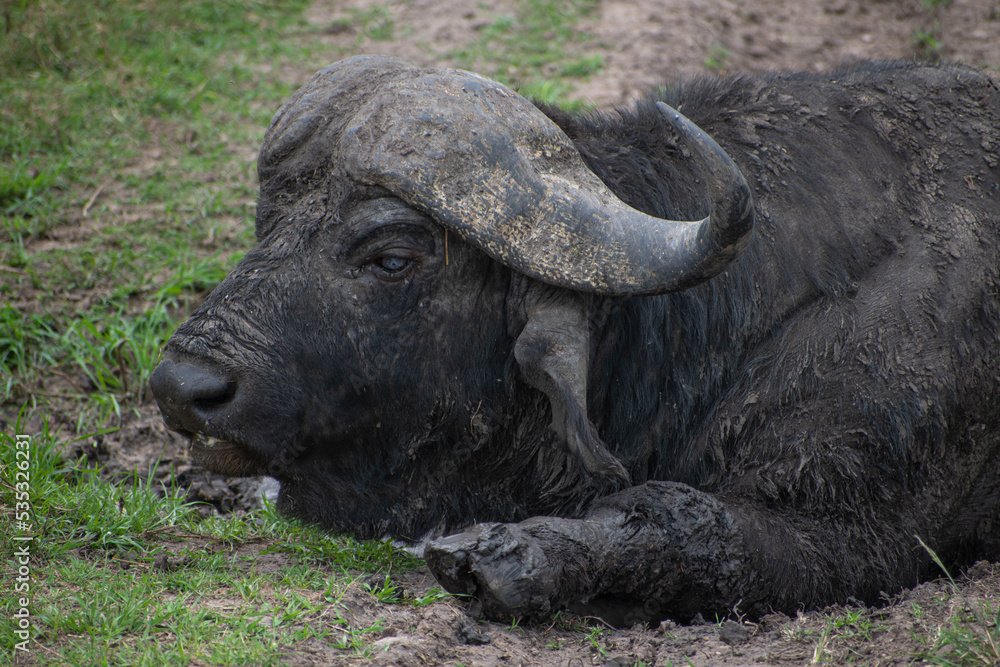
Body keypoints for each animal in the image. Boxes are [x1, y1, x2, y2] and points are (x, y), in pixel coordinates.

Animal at [151, 56, 1000, 624]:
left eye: (391, 255)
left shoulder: (857, 531)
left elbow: (690, 521)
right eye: (269, 222)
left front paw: (505, 559)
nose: (182, 387)